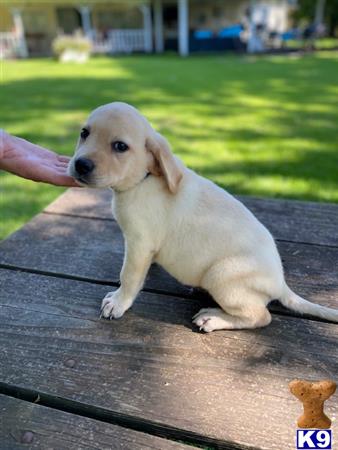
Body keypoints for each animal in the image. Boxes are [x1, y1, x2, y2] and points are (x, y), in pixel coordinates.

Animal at [68, 103, 338, 334]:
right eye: (84, 133)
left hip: (221, 275)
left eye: (120, 147)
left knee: (261, 316)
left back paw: (213, 318)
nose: (80, 165)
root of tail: (281, 283)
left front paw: (119, 302)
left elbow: (129, 276)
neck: (143, 180)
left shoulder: (139, 243)